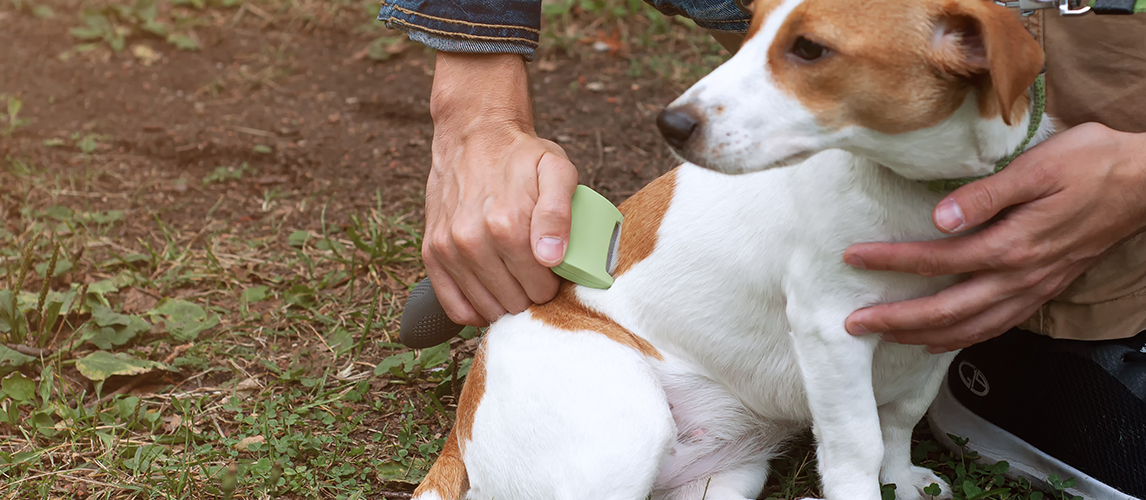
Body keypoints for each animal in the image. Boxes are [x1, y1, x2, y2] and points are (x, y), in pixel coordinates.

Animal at [414, 0, 1054, 497]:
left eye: (810, 49)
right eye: (754, 27)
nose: (672, 123)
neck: (913, 190)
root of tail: (462, 422)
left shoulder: (940, 331)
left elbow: (899, 419)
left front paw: (903, 479)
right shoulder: (831, 330)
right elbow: (858, 446)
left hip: (724, 480)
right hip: (623, 429)